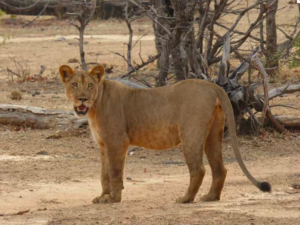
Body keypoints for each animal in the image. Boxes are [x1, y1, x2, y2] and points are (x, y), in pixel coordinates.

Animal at [59, 64, 270, 204]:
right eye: (74, 84)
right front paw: (103, 196)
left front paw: (113, 199)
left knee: (199, 169)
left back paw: (185, 199)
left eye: (90, 85)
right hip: (213, 133)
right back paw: (210, 197)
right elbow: (104, 174)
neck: (95, 107)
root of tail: (212, 85)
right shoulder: (103, 145)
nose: (82, 99)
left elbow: (115, 172)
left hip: (191, 134)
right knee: (220, 168)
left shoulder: (117, 142)